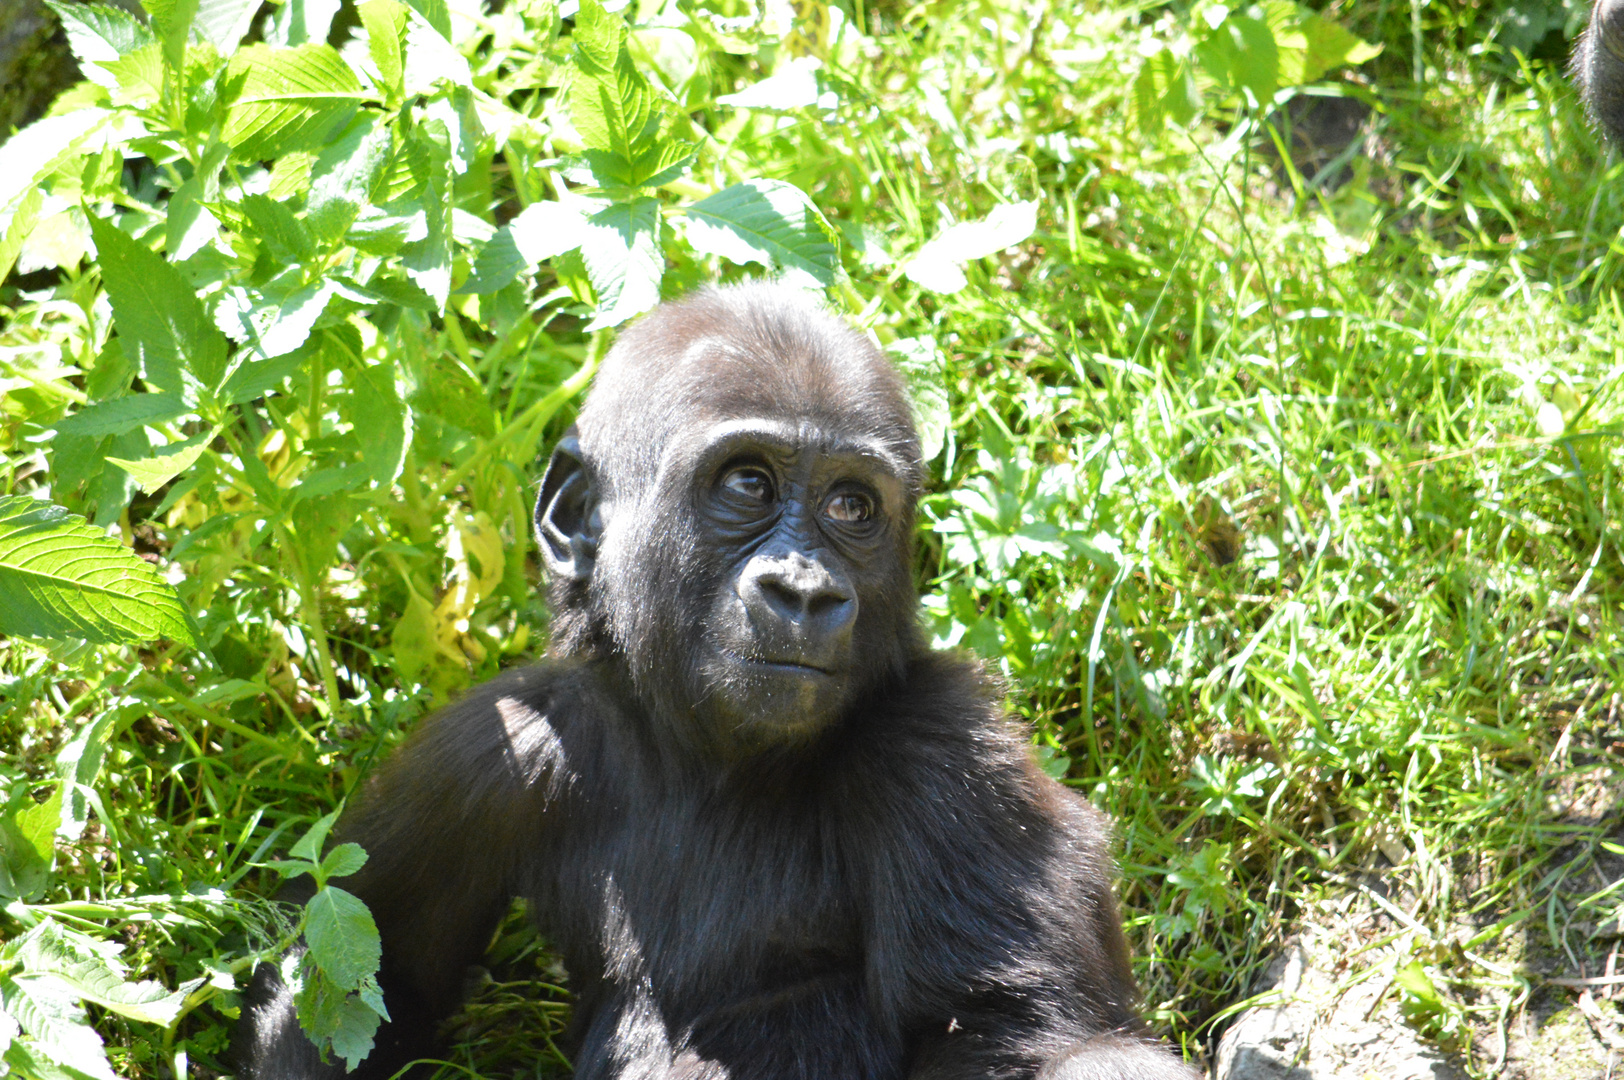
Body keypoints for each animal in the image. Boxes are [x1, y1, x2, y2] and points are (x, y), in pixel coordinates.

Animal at [235, 284, 1195, 1078]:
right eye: (747, 483)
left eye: (852, 506)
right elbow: (356, 977)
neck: (701, 753)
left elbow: (1028, 1038)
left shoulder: (945, 749)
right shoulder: (491, 748)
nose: (805, 591)